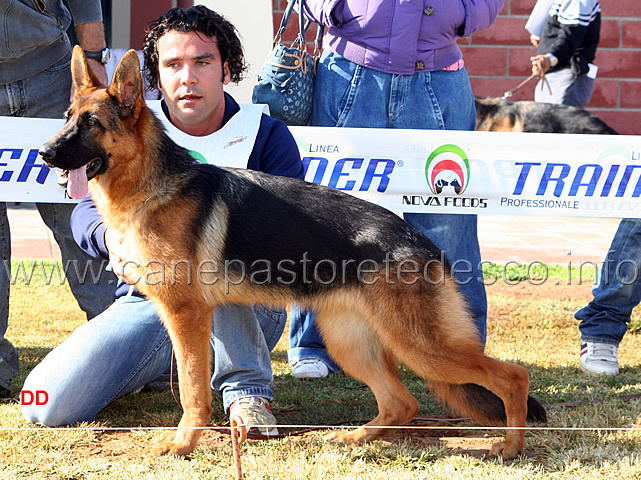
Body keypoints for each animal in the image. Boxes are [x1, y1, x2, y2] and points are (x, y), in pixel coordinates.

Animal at [37, 47, 544, 458]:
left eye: (91, 124)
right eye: (67, 117)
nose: (43, 153)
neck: (150, 185)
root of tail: (425, 244)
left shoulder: (187, 316)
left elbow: (193, 390)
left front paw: (183, 444)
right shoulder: (184, 316)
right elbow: (192, 384)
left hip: (420, 346)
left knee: (512, 377)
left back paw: (511, 447)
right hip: (351, 341)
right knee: (404, 401)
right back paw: (356, 438)